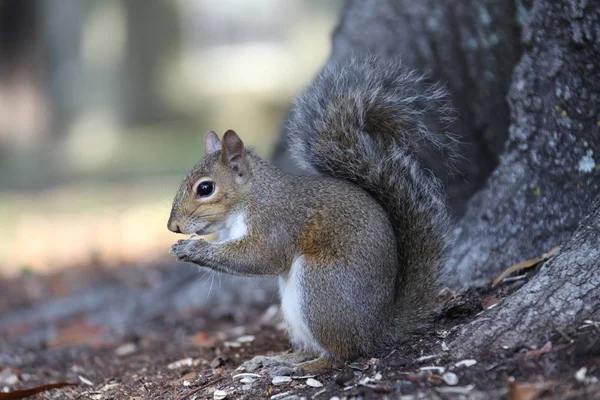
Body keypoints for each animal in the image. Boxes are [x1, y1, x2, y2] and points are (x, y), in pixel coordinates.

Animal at [166, 56, 452, 372]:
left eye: (205, 188)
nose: (173, 226)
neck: (251, 198)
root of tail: (378, 330)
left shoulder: (276, 221)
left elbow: (261, 257)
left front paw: (193, 248)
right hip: (294, 309)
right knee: (309, 348)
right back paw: (275, 360)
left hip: (321, 286)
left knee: (340, 355)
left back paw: (298, 368)